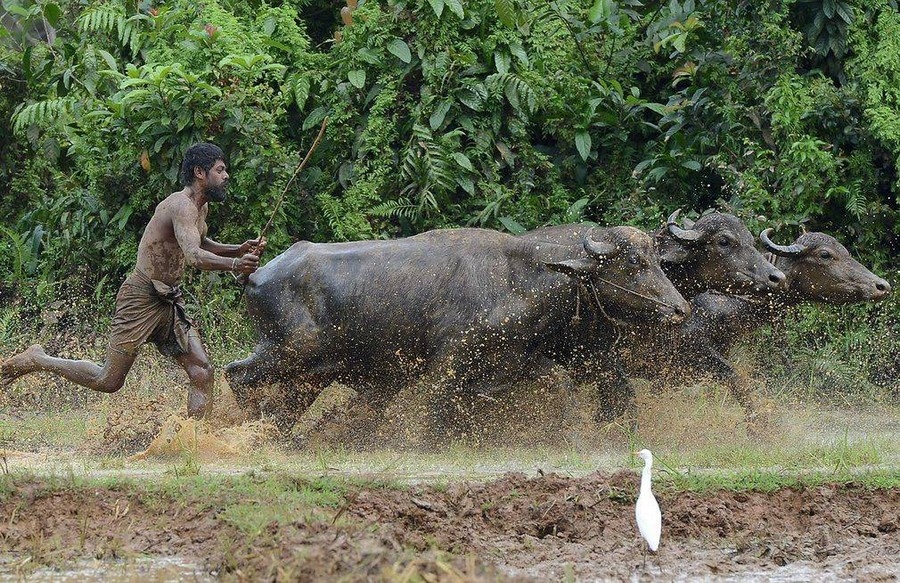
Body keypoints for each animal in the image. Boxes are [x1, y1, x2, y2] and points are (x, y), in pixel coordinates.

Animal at [225, 228, 688, 442]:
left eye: (655, 259)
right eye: (633, 263)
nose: (680, 309)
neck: (517, 279)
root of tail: (256, 275)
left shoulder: (511, 360)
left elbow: (558, 382)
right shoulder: (448, 362)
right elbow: (435, 408)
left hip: (309, 376)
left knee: (281, 409)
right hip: (285, 351)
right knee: (235, 374)